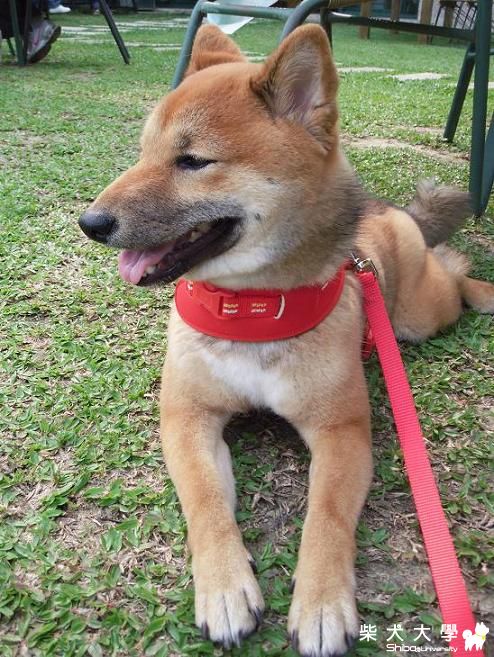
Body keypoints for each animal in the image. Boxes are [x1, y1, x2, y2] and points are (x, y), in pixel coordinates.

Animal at [79, 24, 494, 657]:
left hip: (422, 313)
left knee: (453, 267)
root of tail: (385, 209)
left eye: (193, 161)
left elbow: (326, 517)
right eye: (144, 153)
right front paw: (225, 590)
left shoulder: (341, 431)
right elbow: (206, 503)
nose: (91, 223)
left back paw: (483, 288)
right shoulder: (188, 416)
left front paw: (322, 604)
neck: (251, 309)